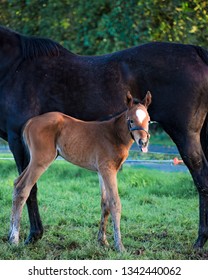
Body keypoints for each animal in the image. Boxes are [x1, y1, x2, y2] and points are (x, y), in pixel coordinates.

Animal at [8, 91, 151, 252]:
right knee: (23, 188)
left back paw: (10, 235)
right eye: (131, 120)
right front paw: (119, 246)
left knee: (16, 183)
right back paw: (14, 240)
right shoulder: (109, 170)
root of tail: (30, 122)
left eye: (148, 120)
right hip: (41, 160)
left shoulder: (101, 171)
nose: (143, 142)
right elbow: (115, 203)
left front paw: (102, 241)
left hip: (34, 161)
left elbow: (105, 203)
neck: (114, 134)